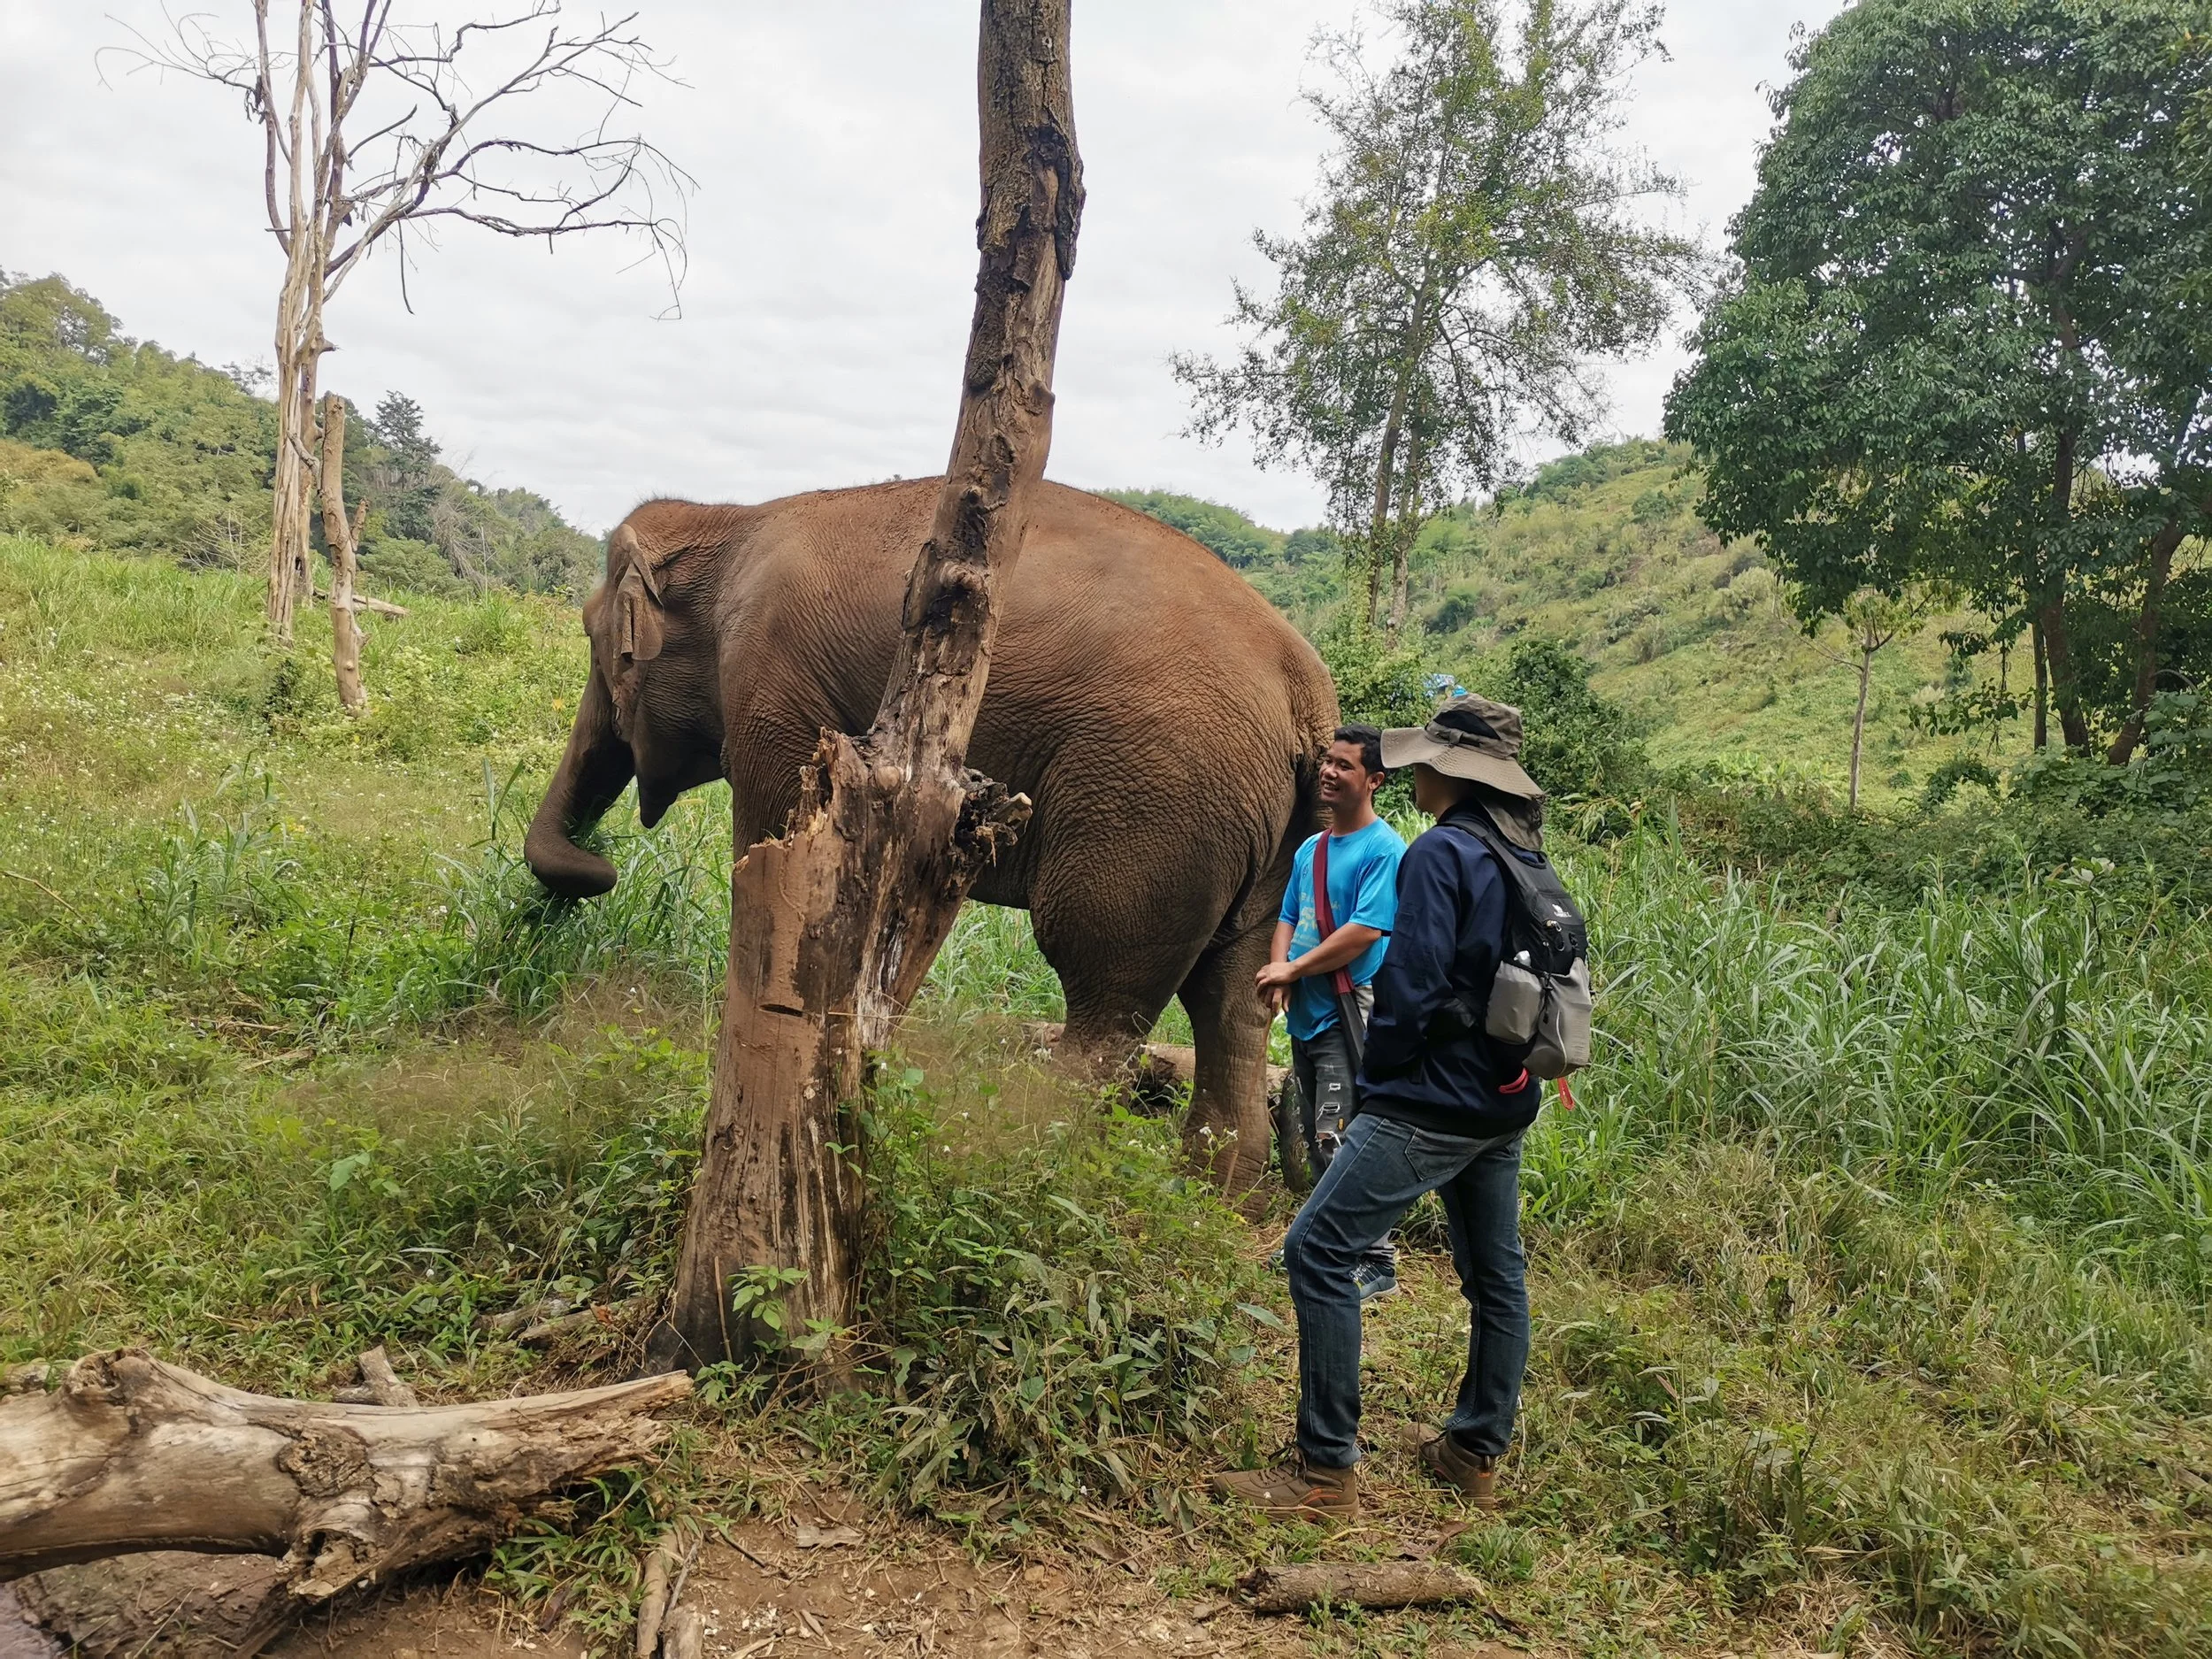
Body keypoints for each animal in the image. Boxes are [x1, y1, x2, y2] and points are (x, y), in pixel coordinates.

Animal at [525, 476, 1338, 1184]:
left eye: (595, 640)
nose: (596, 870)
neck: (728, 518)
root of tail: (1309, 704)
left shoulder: (770, 689)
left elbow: (772, 844)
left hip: (1152, 805)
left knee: (1103, 987)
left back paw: (1025, 1161)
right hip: (1265, 833)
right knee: (1231, 1001)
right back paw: (1208, 1196)